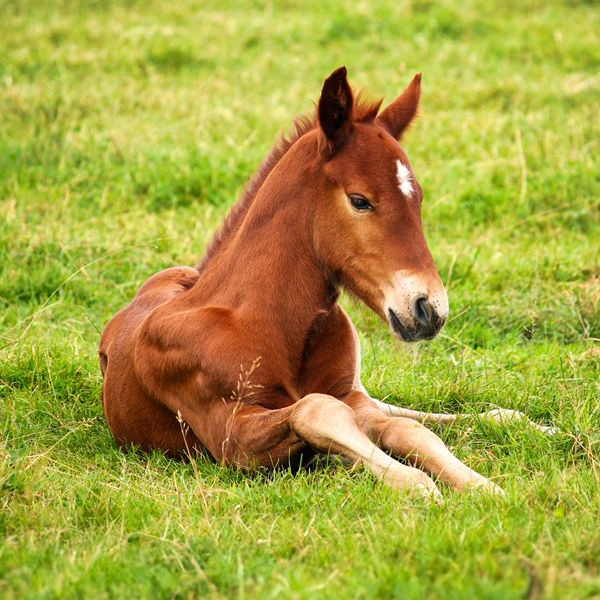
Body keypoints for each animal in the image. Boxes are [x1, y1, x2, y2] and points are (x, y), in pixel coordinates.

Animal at [101, 68, 552, 500]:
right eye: (360, 200)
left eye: (419, 199)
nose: (430, 309)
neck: (269, 321)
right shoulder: (228, 436)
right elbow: (318, 410)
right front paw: (415, 484)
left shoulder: (350, 394)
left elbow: (404, 428)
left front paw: (483, 486)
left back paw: (529, 425)